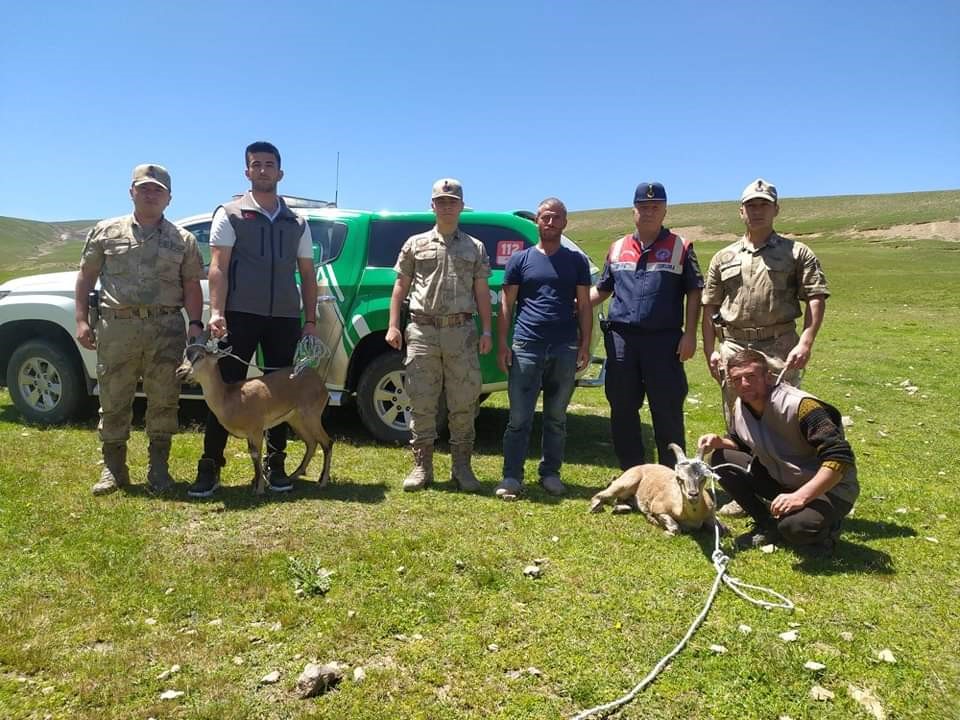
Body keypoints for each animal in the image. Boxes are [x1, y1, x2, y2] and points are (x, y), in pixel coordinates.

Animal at [177, 336, 334, 496]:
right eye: (184, 355)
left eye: (200, 356)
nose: (180, 371)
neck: (228, 398)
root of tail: (321, 383)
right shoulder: (250, 434)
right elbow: (253, 455)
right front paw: (257, 484)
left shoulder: (256, 430)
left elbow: (256, 455)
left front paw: (259, 489)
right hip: (296, 420)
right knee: (312, 443)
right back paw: (293, 476)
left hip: (311, 416)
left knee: (327, 442)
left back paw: (322, 482)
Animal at [584, 442, 728, 536]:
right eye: (679, 478)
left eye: (703, 478)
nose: (693, 494)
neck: (692, 517)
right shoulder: (659, 507)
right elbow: (675, 528)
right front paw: (656, 522)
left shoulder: (711, 514)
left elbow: (723, 530)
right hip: (626, 482)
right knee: (601, 495)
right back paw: (596, 507)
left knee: (620, 501)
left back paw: (619, 508)